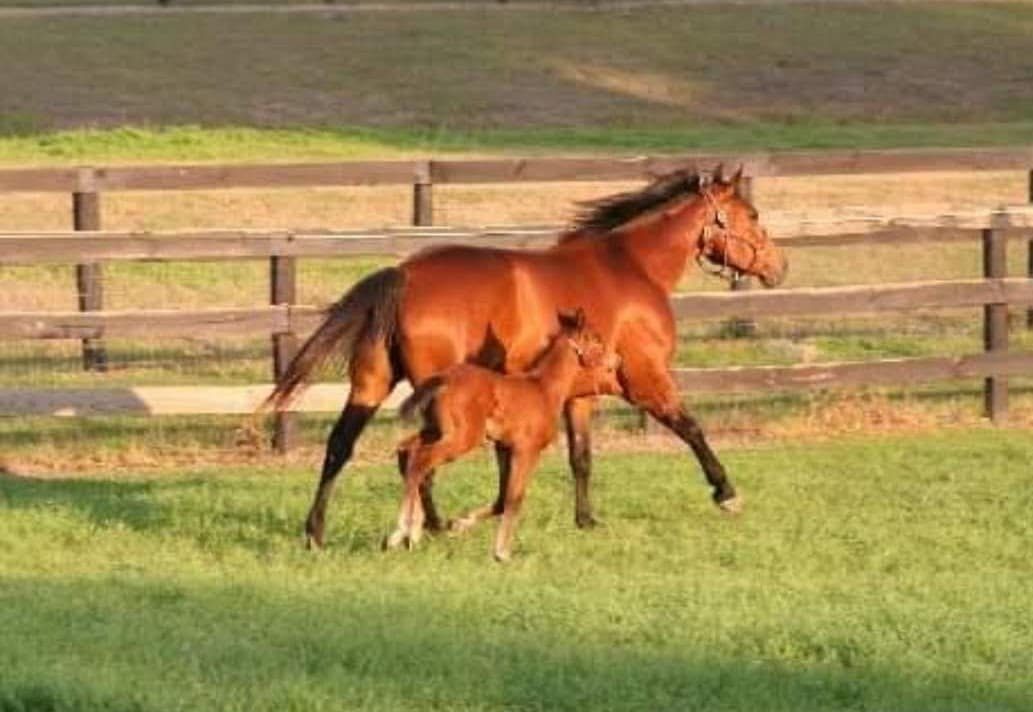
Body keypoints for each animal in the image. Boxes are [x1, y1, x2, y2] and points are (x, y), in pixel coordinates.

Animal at [386, 310, 611, 562]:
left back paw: (411, 533)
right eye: (596, 340)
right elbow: (514, 498)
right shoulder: (526, 450)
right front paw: (502, 552)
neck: (544, 388)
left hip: (435, 431)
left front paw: (460, 524)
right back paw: (402, 531)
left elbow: (502, 500)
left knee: (407, 451)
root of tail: (443, 378)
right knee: (421, 460)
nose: (615, 362)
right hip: (462, 438)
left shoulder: (504, 447)